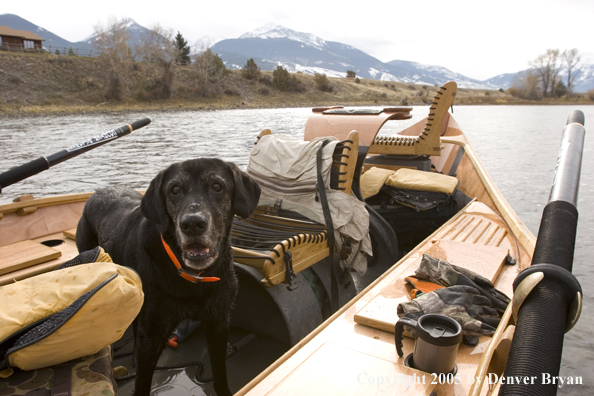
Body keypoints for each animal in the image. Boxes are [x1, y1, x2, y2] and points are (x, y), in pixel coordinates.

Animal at [74, 159, 260, 396]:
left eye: (217, 186)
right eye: (175, 189)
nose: (192, 224)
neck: (193, 278)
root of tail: (97, 193)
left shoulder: (218, 322)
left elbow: (220, 374)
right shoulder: (153, 335)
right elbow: (142, 384)